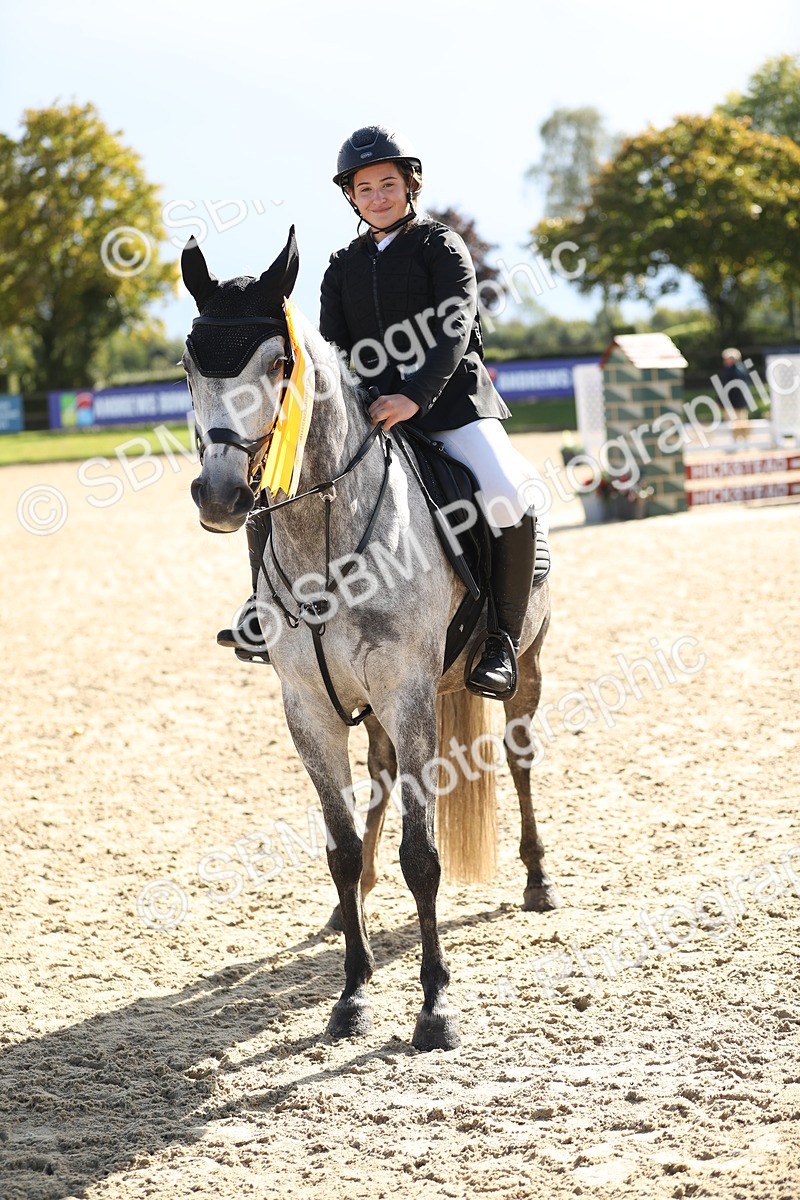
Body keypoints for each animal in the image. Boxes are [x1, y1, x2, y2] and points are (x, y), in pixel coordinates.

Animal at [181, 228, 558, 1051]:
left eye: (278, 364)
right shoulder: (309, 708)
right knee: (382, 782)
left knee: (518, 758)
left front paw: (434, 1006)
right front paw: (353, 992)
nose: (221, 498)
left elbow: (425, 856)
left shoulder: (407, 690)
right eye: (189, 366)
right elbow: (341, 847)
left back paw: (538, 879)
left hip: (525, 662)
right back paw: (347, 911)